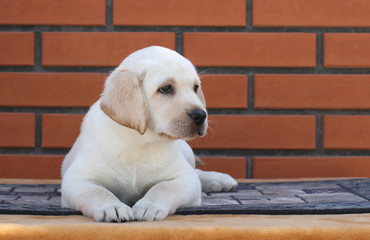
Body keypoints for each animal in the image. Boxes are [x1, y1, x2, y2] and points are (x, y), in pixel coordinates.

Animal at [61, 46, 237, 222]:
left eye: (195, 88)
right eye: (166, 88)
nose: (201, 116)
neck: (140, 143)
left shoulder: (186, 179)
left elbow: (163, 187)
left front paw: (149, 206)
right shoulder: (76, 180)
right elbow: (98, 192)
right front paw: (112, 207)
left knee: (197, 172)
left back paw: (220, 180)